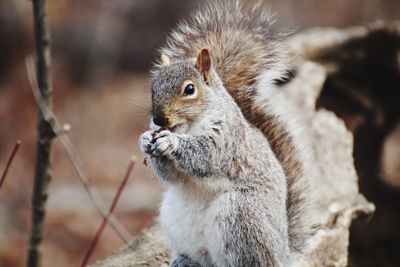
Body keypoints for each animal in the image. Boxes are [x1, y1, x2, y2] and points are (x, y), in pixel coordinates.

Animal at [138, 1, 316, 266]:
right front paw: (145, 140)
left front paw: (172, 142)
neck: (190, 126)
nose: (159, 120)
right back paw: (185, 261)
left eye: (189, 89)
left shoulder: (227, 137)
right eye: (153, 88)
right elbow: (170, 175)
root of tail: (283, 252)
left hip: (241, 215)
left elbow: (206, 155)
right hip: (174, 219)